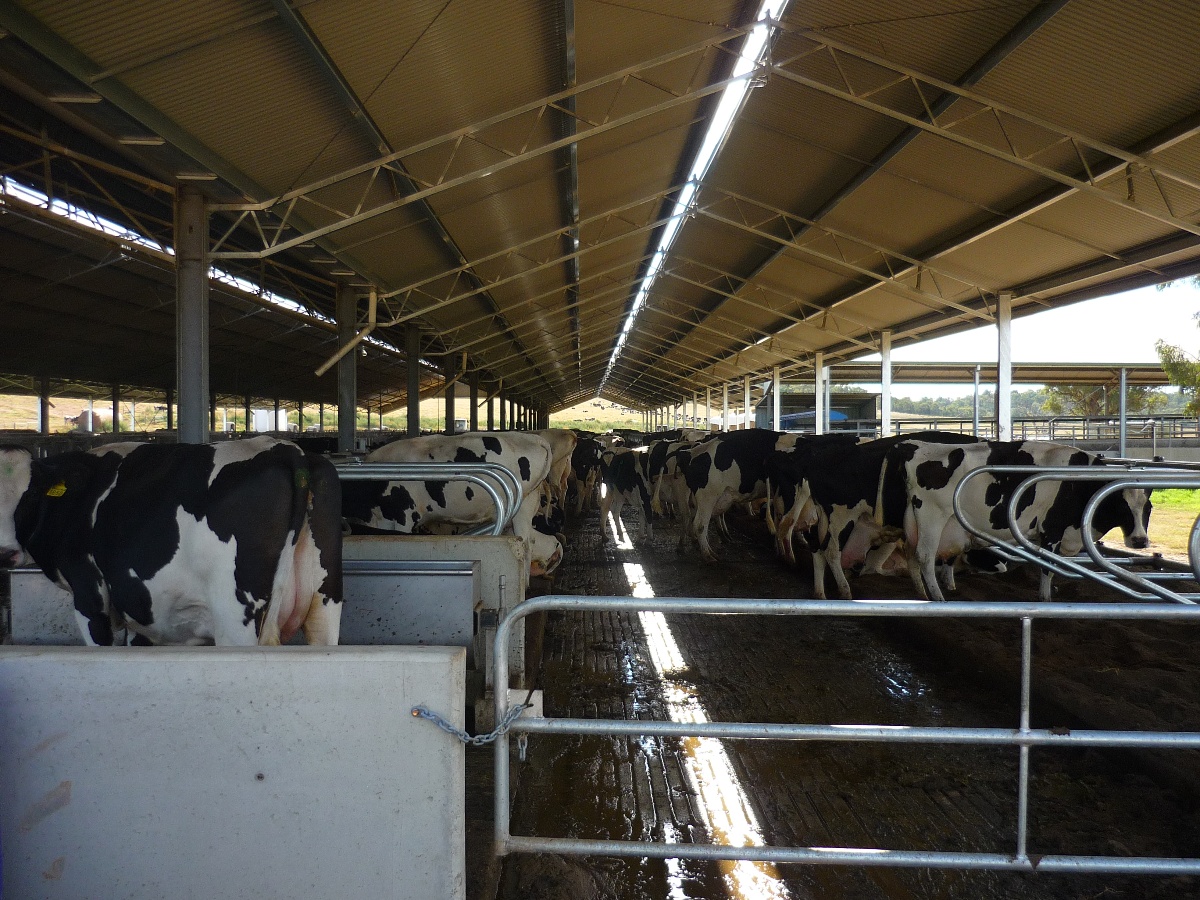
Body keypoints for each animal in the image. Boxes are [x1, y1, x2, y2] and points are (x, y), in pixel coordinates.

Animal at [0, 436, 343, 648]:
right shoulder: (144, 609)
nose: (5, 553)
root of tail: (284, 448)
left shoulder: (89, 595)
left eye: (30, 494)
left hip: (236, 617)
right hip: (325, 602)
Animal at [902, 441, 1152, 602]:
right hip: (932, 516)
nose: (1140, 541)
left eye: (1148, 508)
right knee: (924, 556)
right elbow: (1048, 567)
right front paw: (1045, 598)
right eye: (1121, 507)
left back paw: (922, 594)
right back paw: (937, 597)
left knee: (911, 553)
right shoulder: (1052, 528)